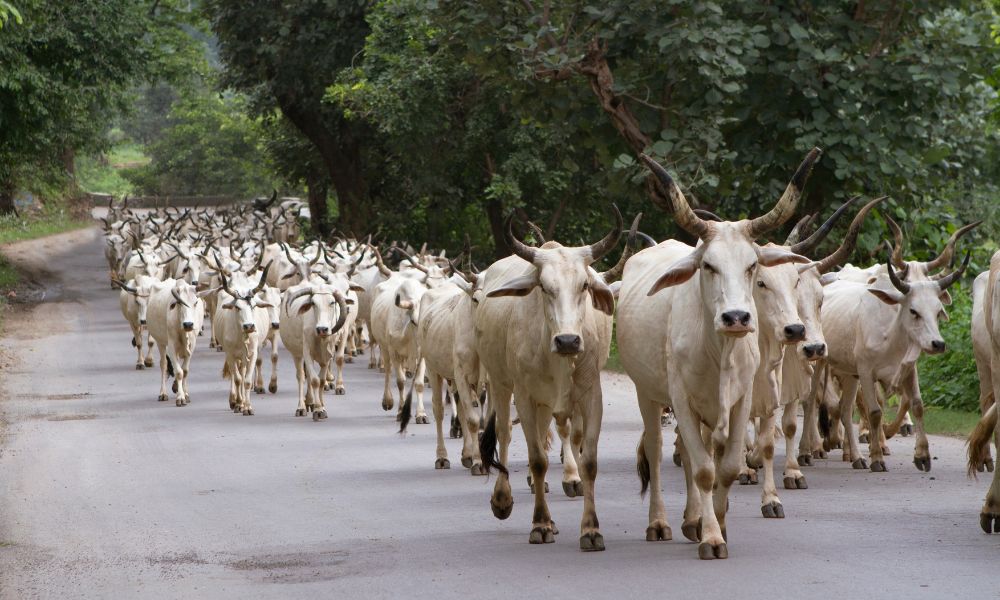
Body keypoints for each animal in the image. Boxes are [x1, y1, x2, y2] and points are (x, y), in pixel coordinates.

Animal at [616, 149, 820, 556]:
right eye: (708, 266)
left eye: (752, 265)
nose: (736, 317)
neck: (718, 349)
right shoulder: (681, 400)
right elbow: (703, 469)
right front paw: (710, 537)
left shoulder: (741, 401)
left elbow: (724, 467)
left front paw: (718, 525)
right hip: (648, 393)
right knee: (657, 450)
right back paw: (661, 522)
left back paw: (692, 519)